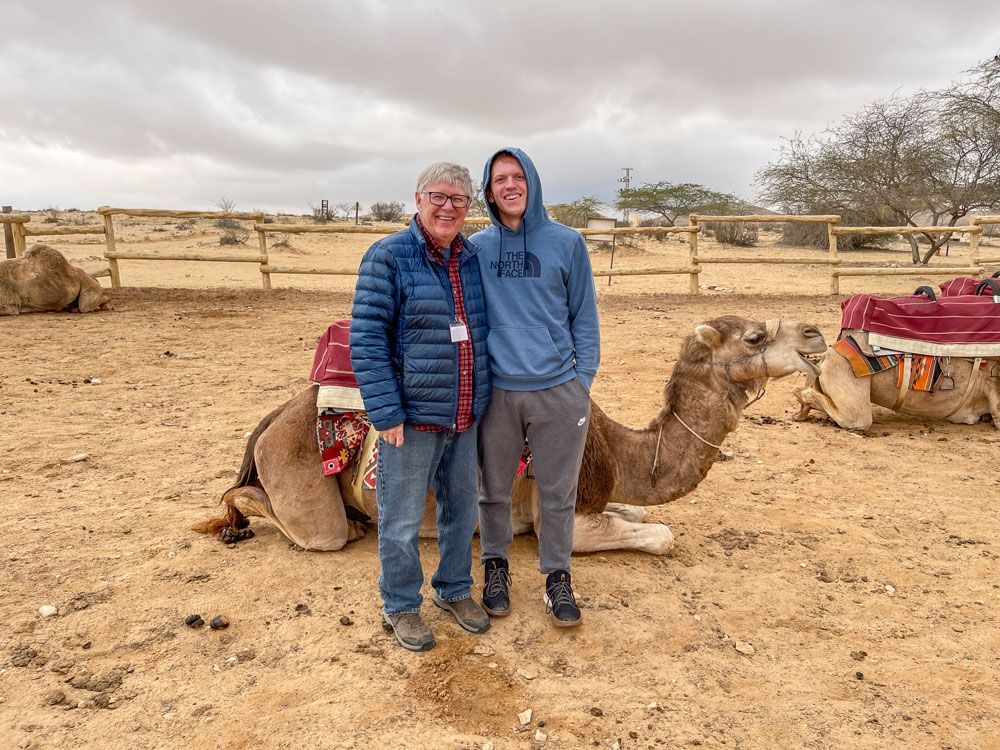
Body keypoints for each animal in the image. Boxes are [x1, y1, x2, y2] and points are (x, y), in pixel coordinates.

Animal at [193, 315, 827, 555]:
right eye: (753, 337)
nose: (816, 334)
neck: (622, 452)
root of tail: (273, 419)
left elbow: (640, 513)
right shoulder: (561, 516)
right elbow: (662, 533)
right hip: (299, 479)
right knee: (288, 515)